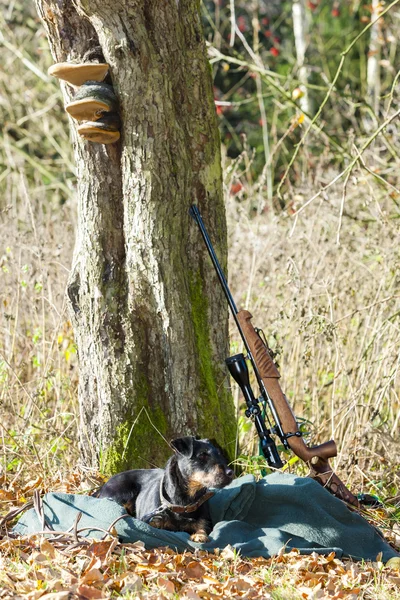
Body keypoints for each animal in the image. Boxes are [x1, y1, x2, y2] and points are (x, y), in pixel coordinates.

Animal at [95, 436, 234, 544]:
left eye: (220, 454)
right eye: (202, 456)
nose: (230, 472)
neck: (184, 503)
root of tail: (102, 487)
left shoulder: (205, 522)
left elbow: (202, 528)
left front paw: (199, 536)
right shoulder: (152, 521)